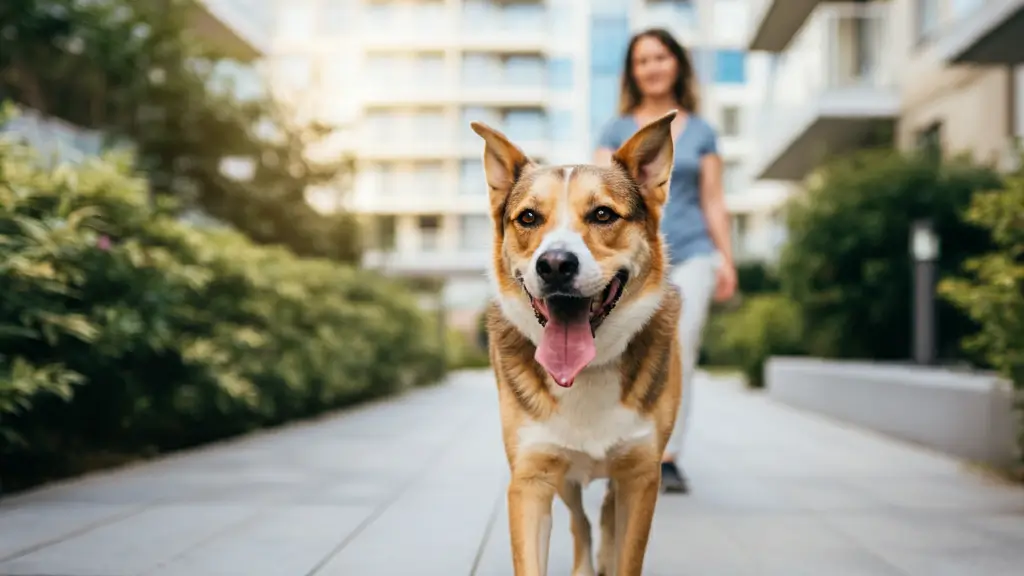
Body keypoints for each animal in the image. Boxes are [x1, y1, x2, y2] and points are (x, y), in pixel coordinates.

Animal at [468, 108, 679, 573]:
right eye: (528, 218)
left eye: (602, 214)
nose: (555, 265)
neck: (586, 371)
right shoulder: (530, 479)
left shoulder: (641, 476)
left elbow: (626, 554)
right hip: (564, 477)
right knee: (581, 520)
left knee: (605, 515)